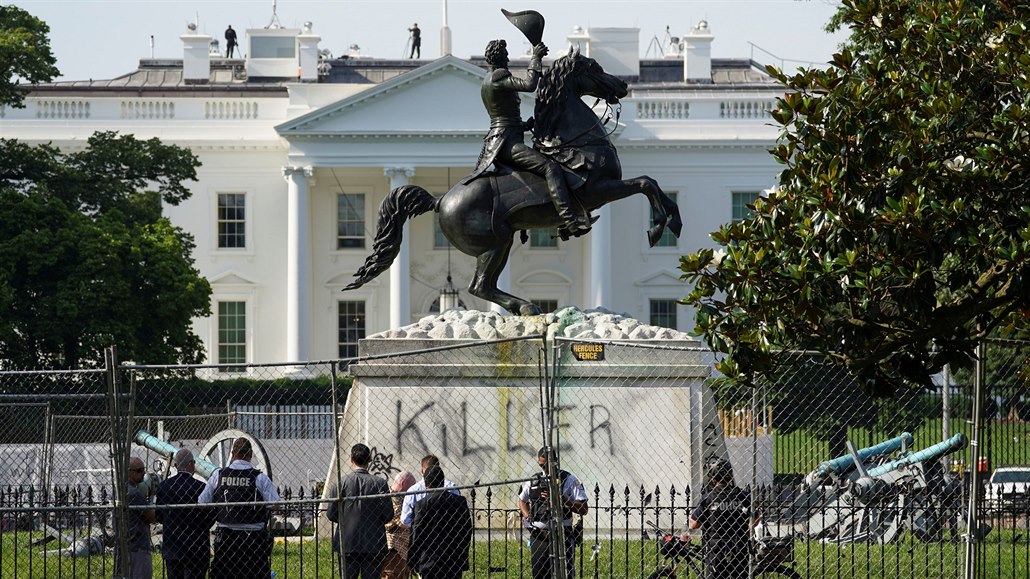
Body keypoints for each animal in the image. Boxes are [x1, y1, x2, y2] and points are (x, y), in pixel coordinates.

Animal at [346, 50, 683, 315]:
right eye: (595, 68)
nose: (624, 85)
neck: (576, 142)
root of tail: (441, 200)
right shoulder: (598, 191)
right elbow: (645, 183)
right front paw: (657, 227)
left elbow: (652, 183)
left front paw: (672, 222)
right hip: (494, 243)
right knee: (479, 286)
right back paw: (526, 306)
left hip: (501, 242)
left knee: (485, 286)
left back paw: (524, 307)